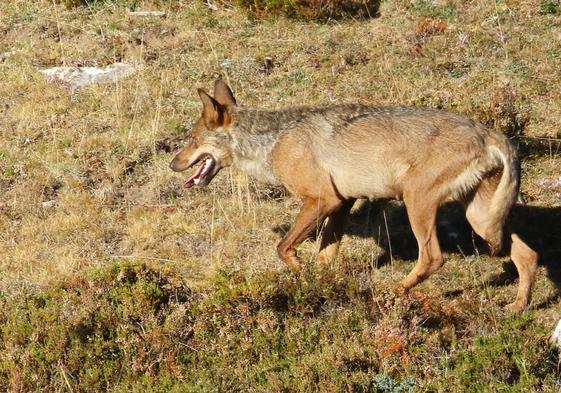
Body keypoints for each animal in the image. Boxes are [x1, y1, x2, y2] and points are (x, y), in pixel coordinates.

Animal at [168, 80, 536, 312]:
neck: (272, 140)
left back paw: (396, 292)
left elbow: (283, 248)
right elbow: (325, 255)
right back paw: (518, 306)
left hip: (418, 203)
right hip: (482, 220)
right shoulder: (343, 203)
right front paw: (320, 284)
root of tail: (491, 133)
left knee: (433, 258)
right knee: (527, 254)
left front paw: (302, 271)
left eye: (191, 140)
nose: (172, 164)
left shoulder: (323, 199)